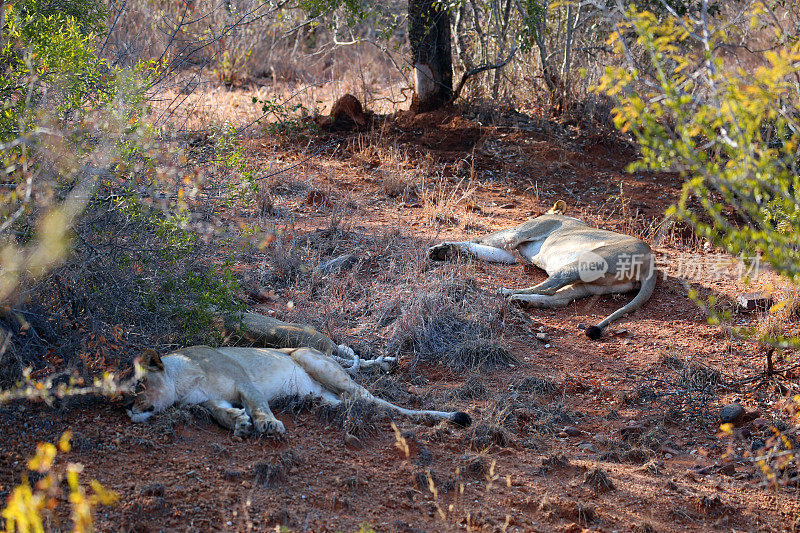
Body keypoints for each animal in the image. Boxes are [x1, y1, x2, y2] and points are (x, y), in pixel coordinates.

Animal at [126, 344, 468, 436]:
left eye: (139, 386)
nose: (128, 409)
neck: (183, 381)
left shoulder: (243, 380)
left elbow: (257, 403)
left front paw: (267, 425)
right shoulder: (210, 401)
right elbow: (221, 413)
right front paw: (239, 424)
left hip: (306, 355)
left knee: (370, 398)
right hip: (321, 393)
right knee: (350, 401)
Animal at [432, 202, 656, 338]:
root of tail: (650, 264)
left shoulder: (519, 232)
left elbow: (483, 239)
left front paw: (442, 248)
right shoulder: (512, 255)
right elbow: (485, 249)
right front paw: (445, 251)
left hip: (584, 262)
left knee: (548, 287)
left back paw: (508, 293)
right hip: (590, 284)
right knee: (559, 298)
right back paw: (520, 301)